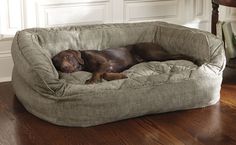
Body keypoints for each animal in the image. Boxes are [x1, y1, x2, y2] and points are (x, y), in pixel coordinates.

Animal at [52, 42, 199, 84]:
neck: (84, 62)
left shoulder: (105, 63)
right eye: (57, 63)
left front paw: (92, 80)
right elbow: (105, 74)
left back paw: (195, 59)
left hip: (153, 54)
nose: (64, 67)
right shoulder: (110, 67)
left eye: (68, 57)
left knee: (178, 54)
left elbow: (97, 72)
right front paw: (121, 76)